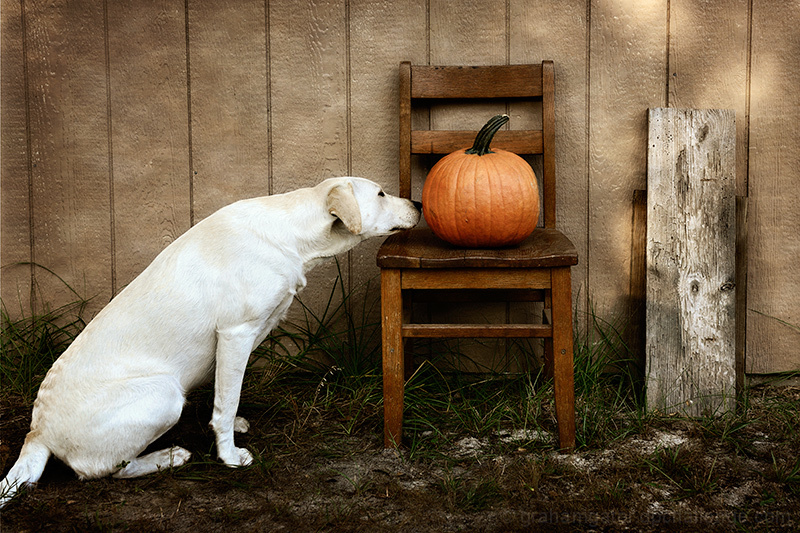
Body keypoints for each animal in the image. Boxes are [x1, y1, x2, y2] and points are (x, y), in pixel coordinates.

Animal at [0, 177, 422, 504]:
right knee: (104, 470)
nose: (418, 202)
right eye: (381, 193)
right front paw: (229, 456)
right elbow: (226, 399)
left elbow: (226, 394)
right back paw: (169, 457)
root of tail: (38, 432)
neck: (291, 234)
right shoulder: (236, 333)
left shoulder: (241, 339)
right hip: (165, 393)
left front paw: (233, 427)